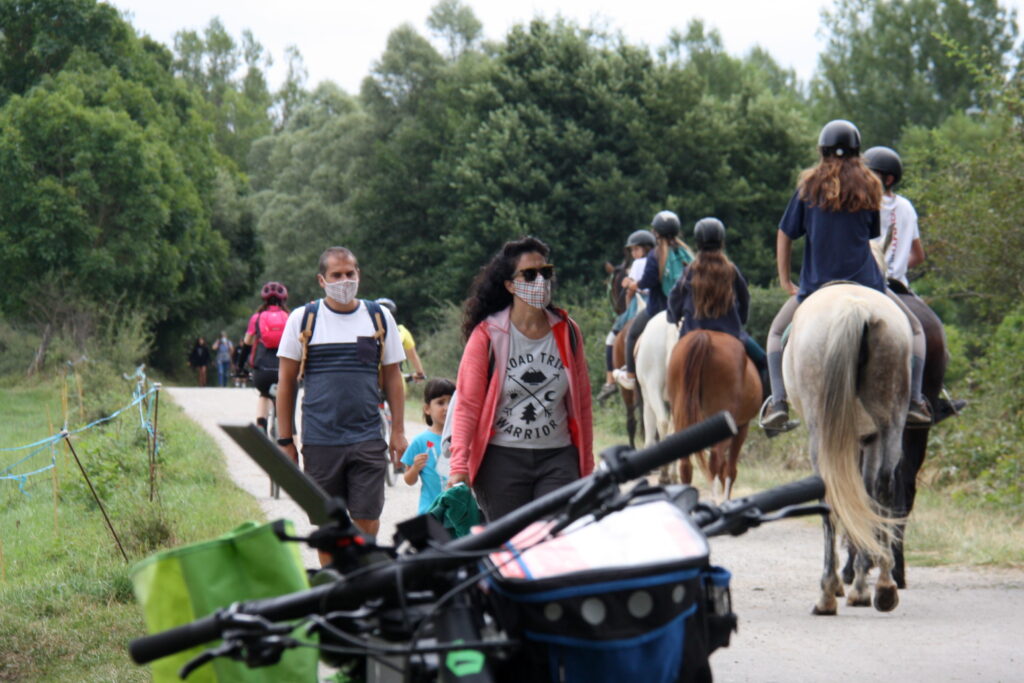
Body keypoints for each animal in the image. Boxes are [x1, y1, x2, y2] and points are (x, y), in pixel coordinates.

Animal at [663, 327, 761, 499]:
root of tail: (704, 336)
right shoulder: (741, 427)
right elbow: (730, 470)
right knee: (715, 460)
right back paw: (715, 500)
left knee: (686, 464)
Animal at [782, 286, 913, 618]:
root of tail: (855, 308)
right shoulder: (866, 438)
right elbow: (862, 496)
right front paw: (861, 581)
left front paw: (848, 581)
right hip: (891, 420)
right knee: (884, 487)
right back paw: (884, 586)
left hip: (823, 432)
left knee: (829, 494)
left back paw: (828, 593)